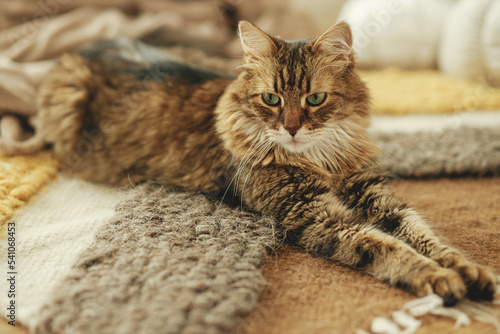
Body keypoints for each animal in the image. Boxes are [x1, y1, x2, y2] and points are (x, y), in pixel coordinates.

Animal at [30, 20, 496, 302]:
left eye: (315, 99)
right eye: (271, 99)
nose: (291, 128)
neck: (318, 159)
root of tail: (90, 44)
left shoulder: (373, 193)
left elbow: (423, 235)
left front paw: (468, 270)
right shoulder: (315, 215)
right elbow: (385, 246)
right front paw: (438, 278)